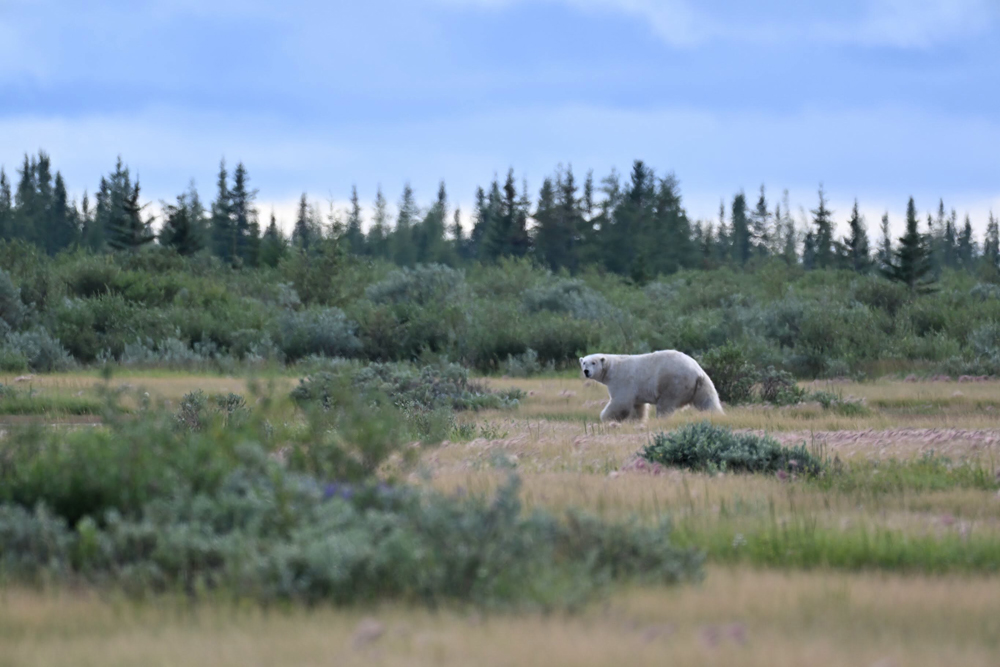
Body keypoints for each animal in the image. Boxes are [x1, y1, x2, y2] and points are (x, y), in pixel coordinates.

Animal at [579, 350, 724, 422]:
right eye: (584, 362)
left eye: (593, 362)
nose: (586, 371)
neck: (611, 368)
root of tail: (697, 371)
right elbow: (638, 407)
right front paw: (636, 421)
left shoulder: (622, 380)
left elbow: (620, 402)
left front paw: (605, 418)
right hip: (701, 385)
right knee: (708, 401)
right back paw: (717, 416)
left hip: (673, 383)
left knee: (665, 405)